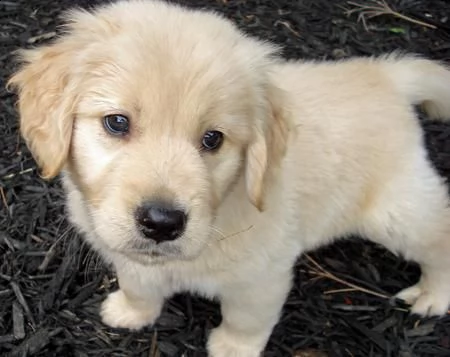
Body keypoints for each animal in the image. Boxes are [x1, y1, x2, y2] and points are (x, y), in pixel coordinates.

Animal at [6, 0, 450, 356]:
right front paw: (131, 312)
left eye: (213, 139)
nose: (162, 223)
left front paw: (232, 348)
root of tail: (387, 75)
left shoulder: (262, 277)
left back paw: (433, 295)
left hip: (396, 211)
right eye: (117, 122)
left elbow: (245, 320)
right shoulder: (132, 258)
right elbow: (138, 284)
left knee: (439, 236)